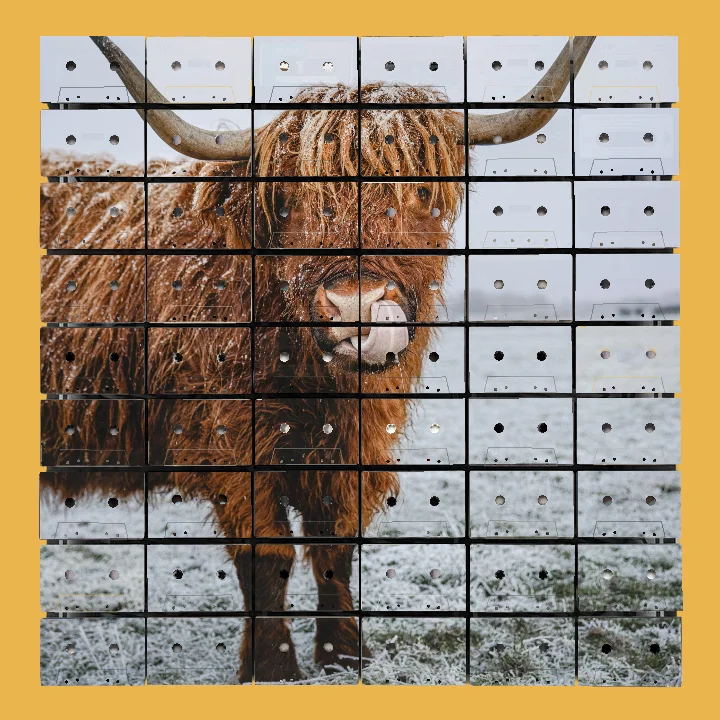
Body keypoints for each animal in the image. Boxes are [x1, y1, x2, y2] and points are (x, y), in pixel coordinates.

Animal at [40, 36, 594, 683]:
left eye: (420, 193)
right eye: (288, 203)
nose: (356, 307)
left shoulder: (355, 439)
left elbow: (335, 545)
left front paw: (344, 655)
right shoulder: (227, 437)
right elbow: (267, 553)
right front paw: (274, 667)